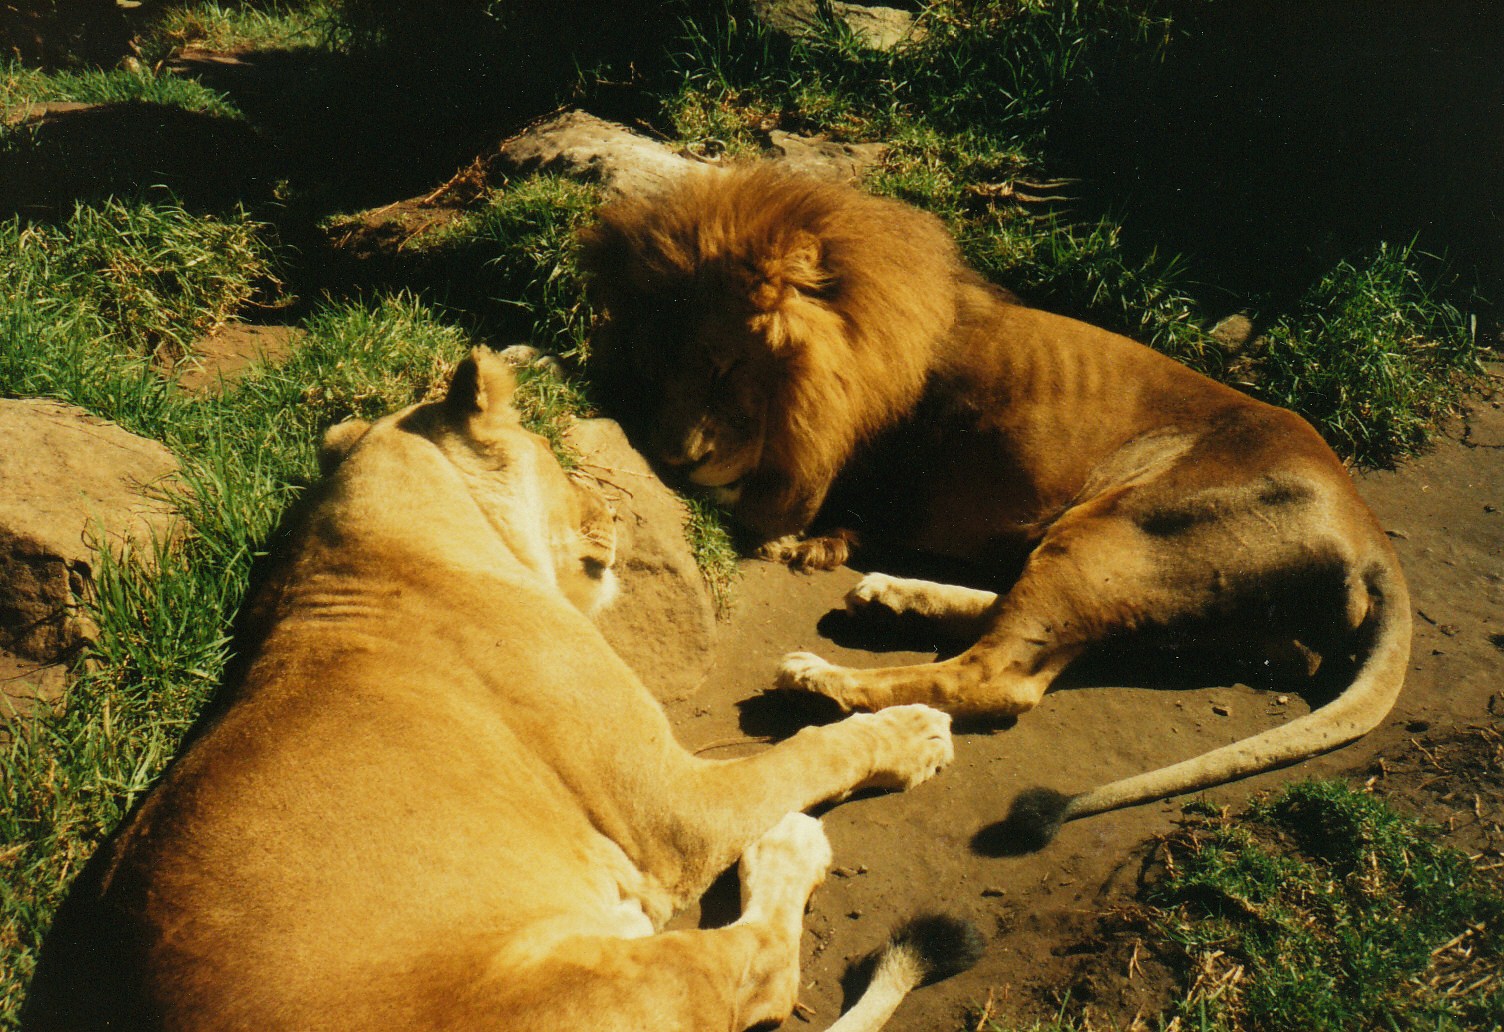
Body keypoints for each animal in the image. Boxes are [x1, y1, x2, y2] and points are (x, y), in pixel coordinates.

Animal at [21, 349, 975, 1032]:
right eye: (557, 458)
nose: (615, 512)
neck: (373, 545)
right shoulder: (673, 809)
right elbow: (806, 754)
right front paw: (915, 732)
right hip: (585, 990)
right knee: (758, 970)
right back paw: (789, 849)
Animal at [578, 165, 1413, 846]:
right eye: (654, 370)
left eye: (723, 368)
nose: (673, 460)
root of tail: (1371, 535)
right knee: (1032, 627)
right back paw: (892, 597)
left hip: (1120, 526)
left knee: (997, 675)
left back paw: (823, 676)